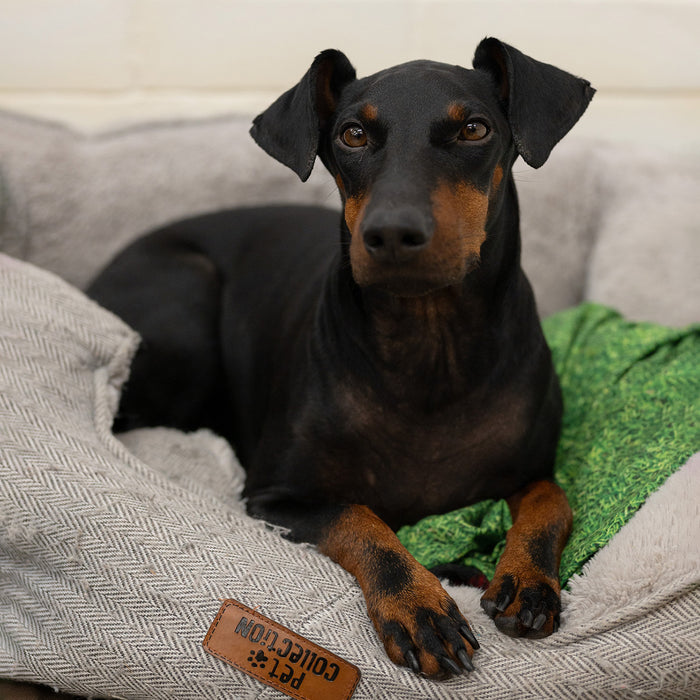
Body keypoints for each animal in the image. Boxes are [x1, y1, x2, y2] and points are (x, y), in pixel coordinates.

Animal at [86, 39, 592, 680]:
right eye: (352, 134)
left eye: (474, 128)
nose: (393, 233)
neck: (430, 348)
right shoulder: (276, 498)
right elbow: (358, 518)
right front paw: (418, 606)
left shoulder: (533, 469)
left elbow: (553, 499)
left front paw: (527, 582)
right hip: (185, 317)